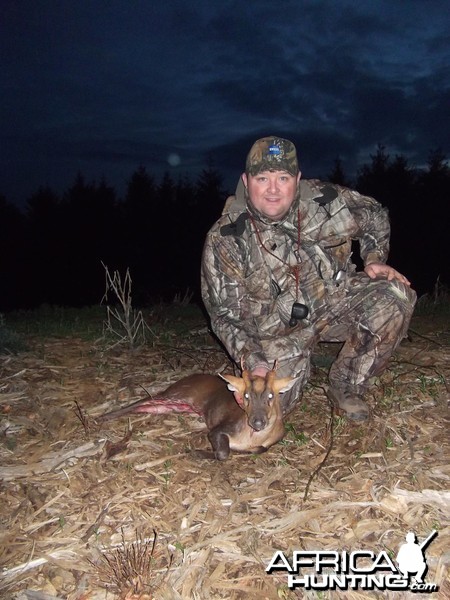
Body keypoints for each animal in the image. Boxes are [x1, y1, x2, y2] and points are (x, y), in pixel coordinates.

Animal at [97, 366, 296, 460]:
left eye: (271, 396)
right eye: (246, 396)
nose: (257, 422)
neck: (252, 437)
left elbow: (257, 449)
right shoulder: (220, 428)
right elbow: (223, 453)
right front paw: (195, 452)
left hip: (176, 405)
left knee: (149, 406)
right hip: (178, 393)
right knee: (145, 399)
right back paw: (102, 417)